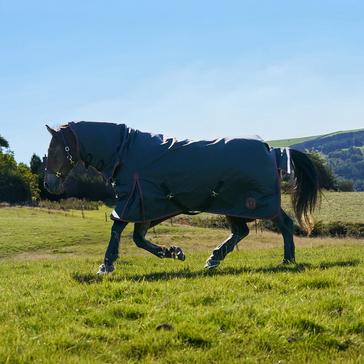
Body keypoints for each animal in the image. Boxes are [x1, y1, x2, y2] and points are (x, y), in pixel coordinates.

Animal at [44, 121, 320, 274]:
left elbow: (119, 230)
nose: (49, 184)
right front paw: (173, 252)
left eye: (55, 150)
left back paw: (287, 259)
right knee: (242, 231)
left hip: (252, 203)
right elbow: (137, 238)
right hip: (233, 205)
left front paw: (106, 266)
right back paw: (214, 259)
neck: (125, 153)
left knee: (283, 224)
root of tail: (271, 150)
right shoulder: (146, 206)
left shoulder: (134, 201)